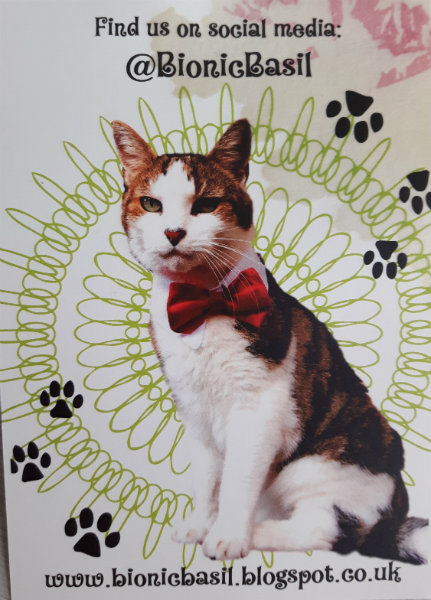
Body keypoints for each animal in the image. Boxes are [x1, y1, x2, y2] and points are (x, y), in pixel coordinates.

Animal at [112, 118, 428, 563]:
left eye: (206, 204)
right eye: (151, 204)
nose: (174, 231)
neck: (200, 301)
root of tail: (394, 513)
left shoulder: (257, 408)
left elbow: (237, 479)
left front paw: (227, 536)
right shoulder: (195, 408)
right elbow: (206, 477)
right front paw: (200, 524)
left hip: (321, 464)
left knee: (328, 529)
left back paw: (258, 532)